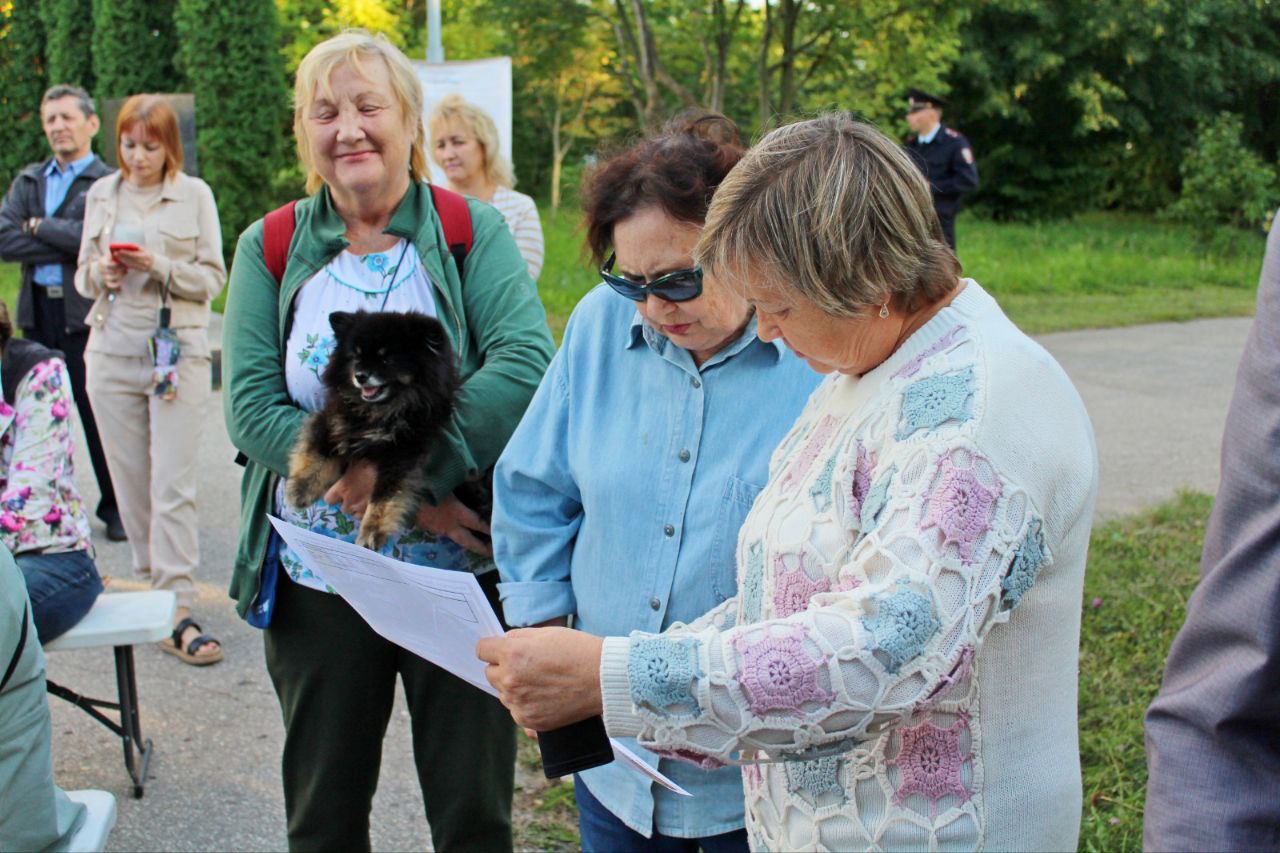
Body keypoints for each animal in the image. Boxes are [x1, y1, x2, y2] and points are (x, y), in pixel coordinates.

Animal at [285, 308, 476, 548]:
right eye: (356, 356)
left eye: (386, 359)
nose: (360, 375)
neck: (380, 413)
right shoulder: (334, 420)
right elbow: (318, 451)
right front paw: (300, 489)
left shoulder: (405, 451)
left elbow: (386, 495)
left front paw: (371, 531)